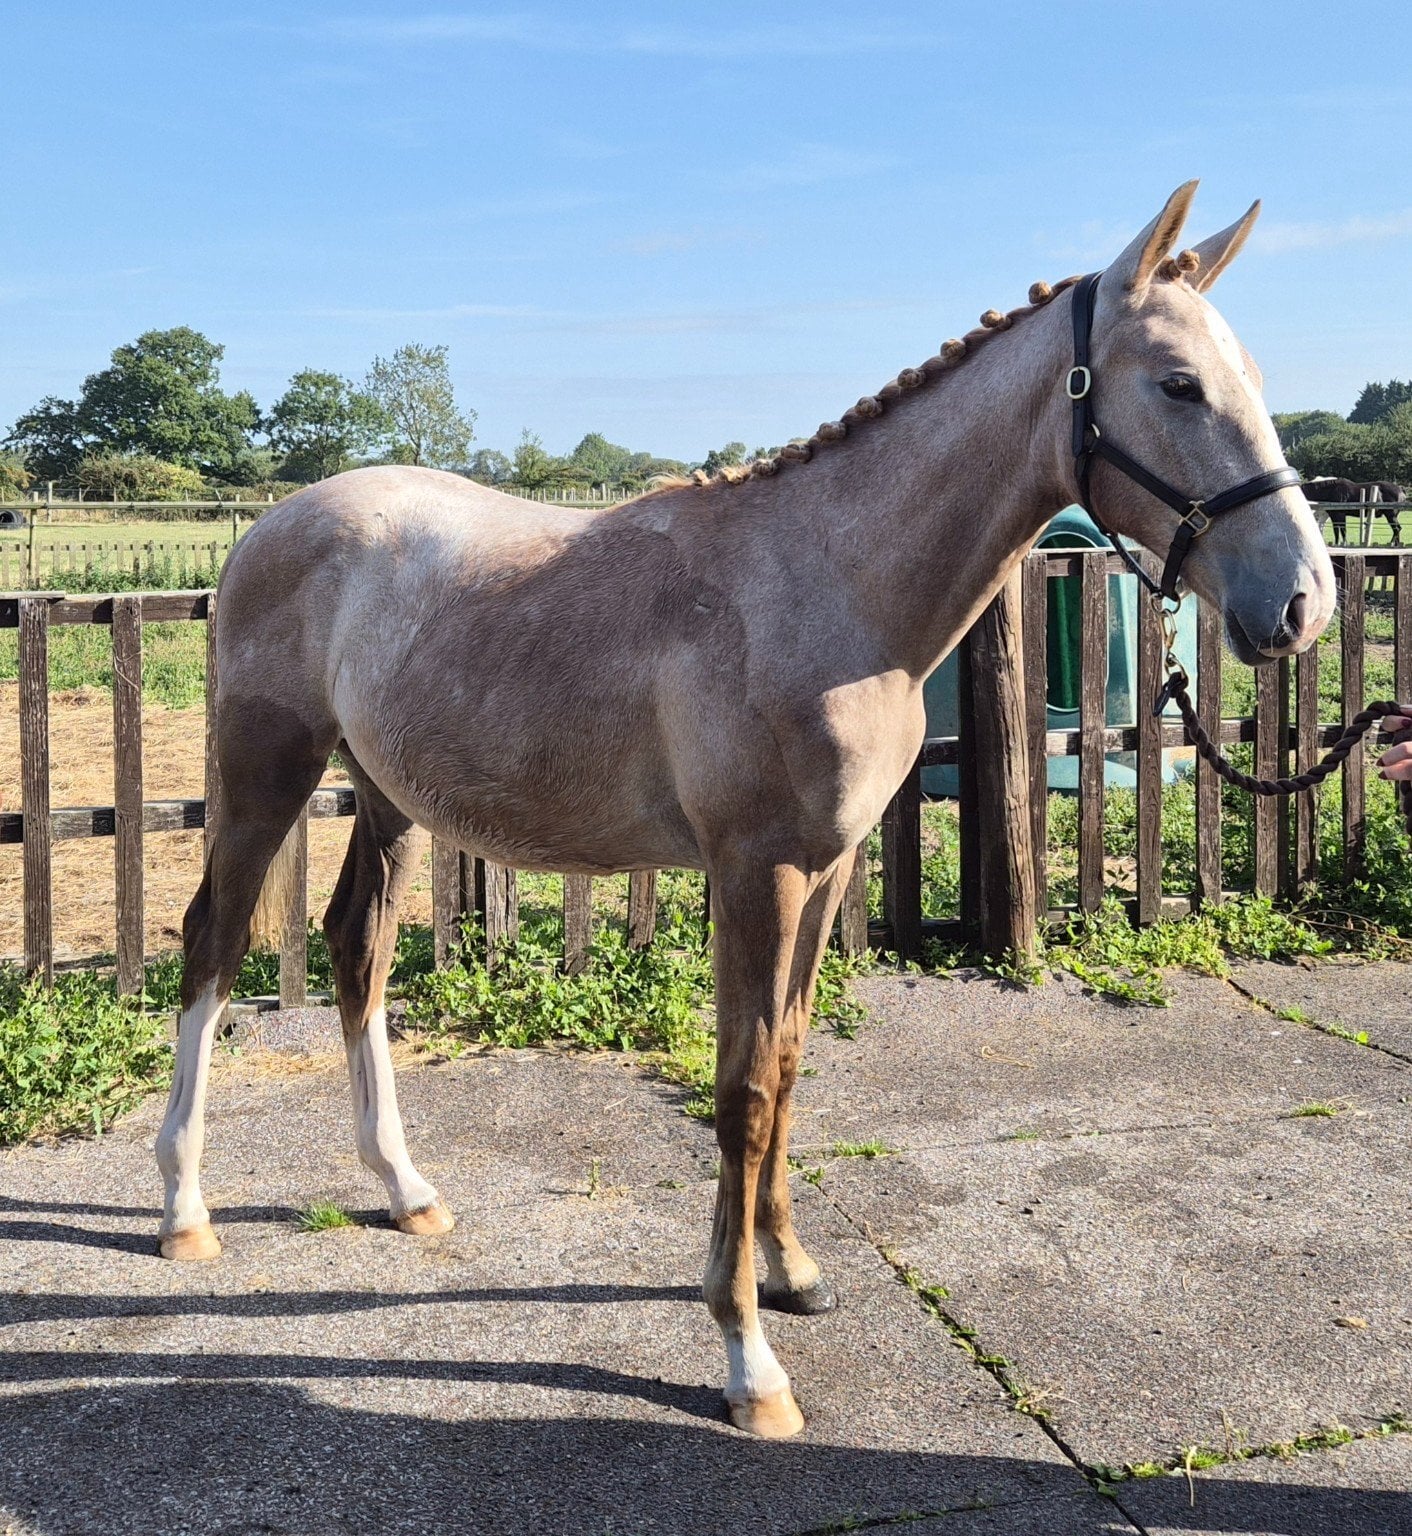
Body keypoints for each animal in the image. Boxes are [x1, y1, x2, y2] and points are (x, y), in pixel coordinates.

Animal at [155, 183, 1335, 1438]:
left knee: (355, 947)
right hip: (268, 771)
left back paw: (403, 1187)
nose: (1299, 602)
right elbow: (745, 1087)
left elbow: (791, 1058)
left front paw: (790, 1268)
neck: (831, 588)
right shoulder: (754, 871)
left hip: (386, 798)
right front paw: (744, 1354)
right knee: (212, 943)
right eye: (1176, 384)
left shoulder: (822, 868)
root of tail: (273, 525)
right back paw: (184, 1210)